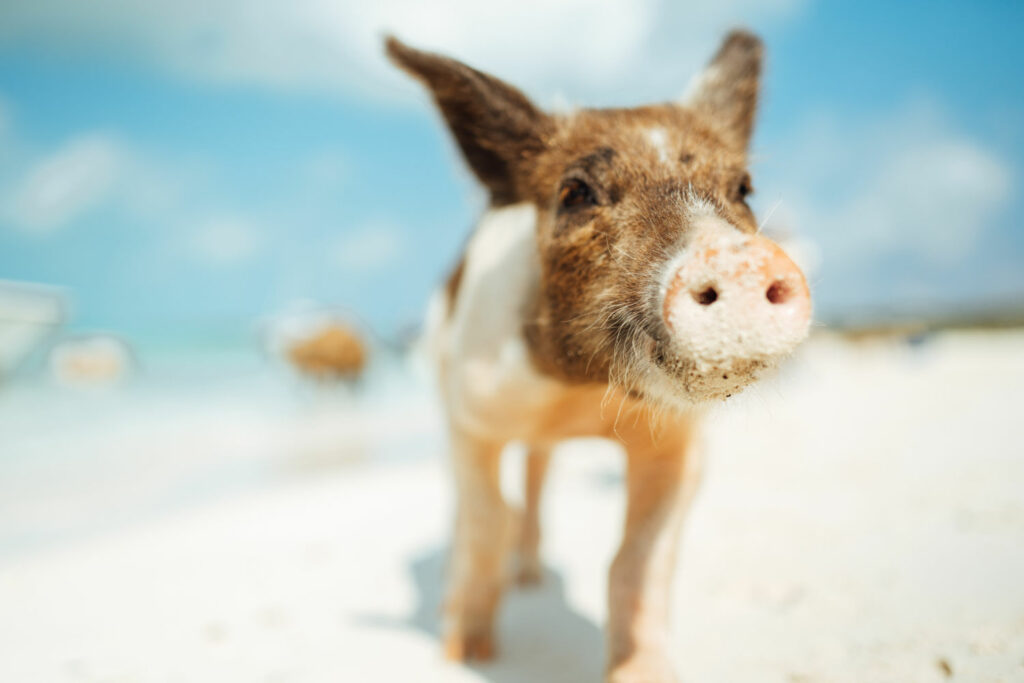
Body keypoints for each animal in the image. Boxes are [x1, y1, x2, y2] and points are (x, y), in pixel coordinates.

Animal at [387, 30, 811, 683]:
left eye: (743, 188)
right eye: (575, 192)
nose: (740, 257)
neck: (581, 396)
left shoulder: (680, 445)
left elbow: (635, 561)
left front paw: (645, 674)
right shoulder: (472, 416)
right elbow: (485, 524)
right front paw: (463, 653)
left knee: (537, 477)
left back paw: (532, 578)